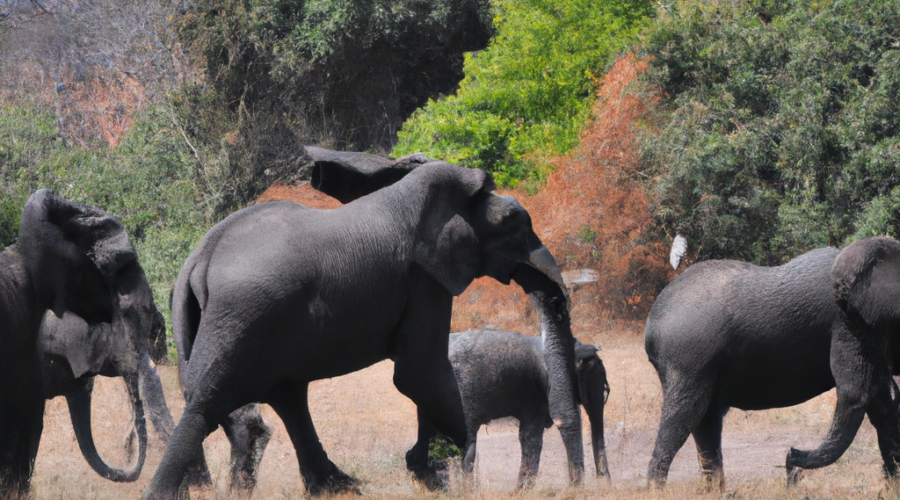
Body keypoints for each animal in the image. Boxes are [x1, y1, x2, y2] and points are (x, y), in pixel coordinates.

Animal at [144, 146, 584, 498]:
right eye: (515, 223)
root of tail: (198, 261)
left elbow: (420, 378)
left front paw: (432, 473)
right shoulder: (424, 280)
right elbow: (419, 373)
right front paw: (452, 476)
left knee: (285, 397)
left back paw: (338, 486)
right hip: (244, 316)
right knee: (209, 403)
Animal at [644, 239, 900, 492]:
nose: (790, 462)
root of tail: (652, 325)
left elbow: (883, 403)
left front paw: (892, 488)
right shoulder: (851, 323)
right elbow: (861, 393)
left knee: (706, 421)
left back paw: (714, 493)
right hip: (688, 357)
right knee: (683, 417)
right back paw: (656, 491)